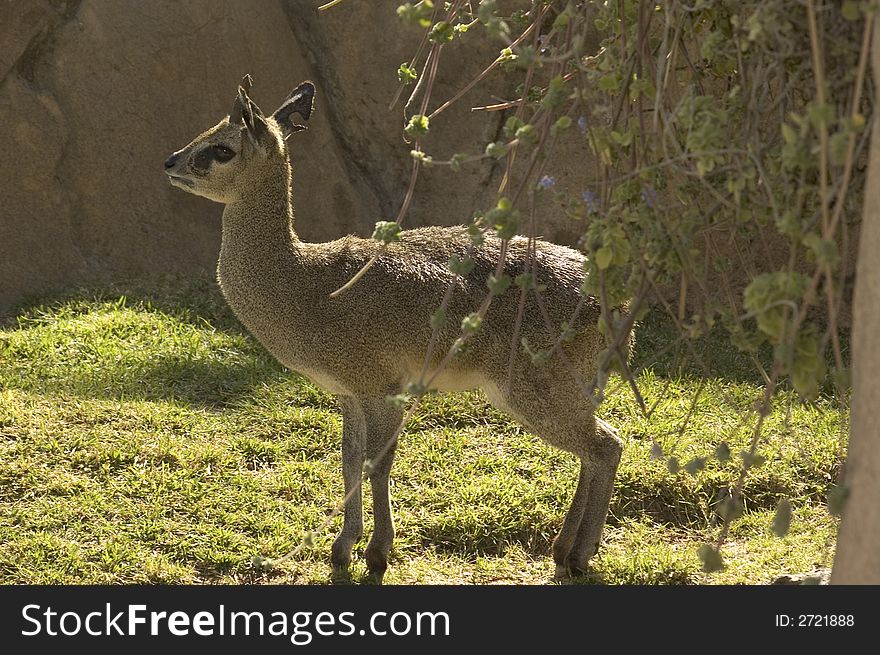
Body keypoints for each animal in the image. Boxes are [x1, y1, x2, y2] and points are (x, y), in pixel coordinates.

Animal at [165, 74, 628, 580]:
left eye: (221, 148)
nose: (170, 162)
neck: (307, 284)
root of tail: (613, 305)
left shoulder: (383, 386)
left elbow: (377, 463)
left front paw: (377, 553)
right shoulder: (348, 392)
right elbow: (349, 460)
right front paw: (342, 548)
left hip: (532, 388)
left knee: (606, 445)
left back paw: (578, 556)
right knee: (598, 444)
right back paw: (563, 550)